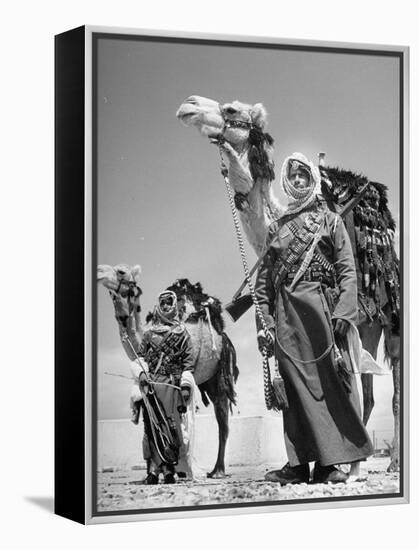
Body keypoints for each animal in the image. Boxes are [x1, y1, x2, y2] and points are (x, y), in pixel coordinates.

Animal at [96, 266, 238, 478]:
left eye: (121, 271)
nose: (99, 272)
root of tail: (224, 336)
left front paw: (179, 469)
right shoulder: (145, 386)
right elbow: (149, 422)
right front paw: (154, 473)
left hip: (218, 372)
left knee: (223, 420)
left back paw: (217, 471)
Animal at [176, 96, 402, 474]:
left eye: (231, 110)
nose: (187, 105)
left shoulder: (342, 313)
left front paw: (342, 466)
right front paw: (305, 465)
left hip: (392, 317)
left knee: (394, 388)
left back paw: (391, 463)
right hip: (369, 324)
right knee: (370, 391)